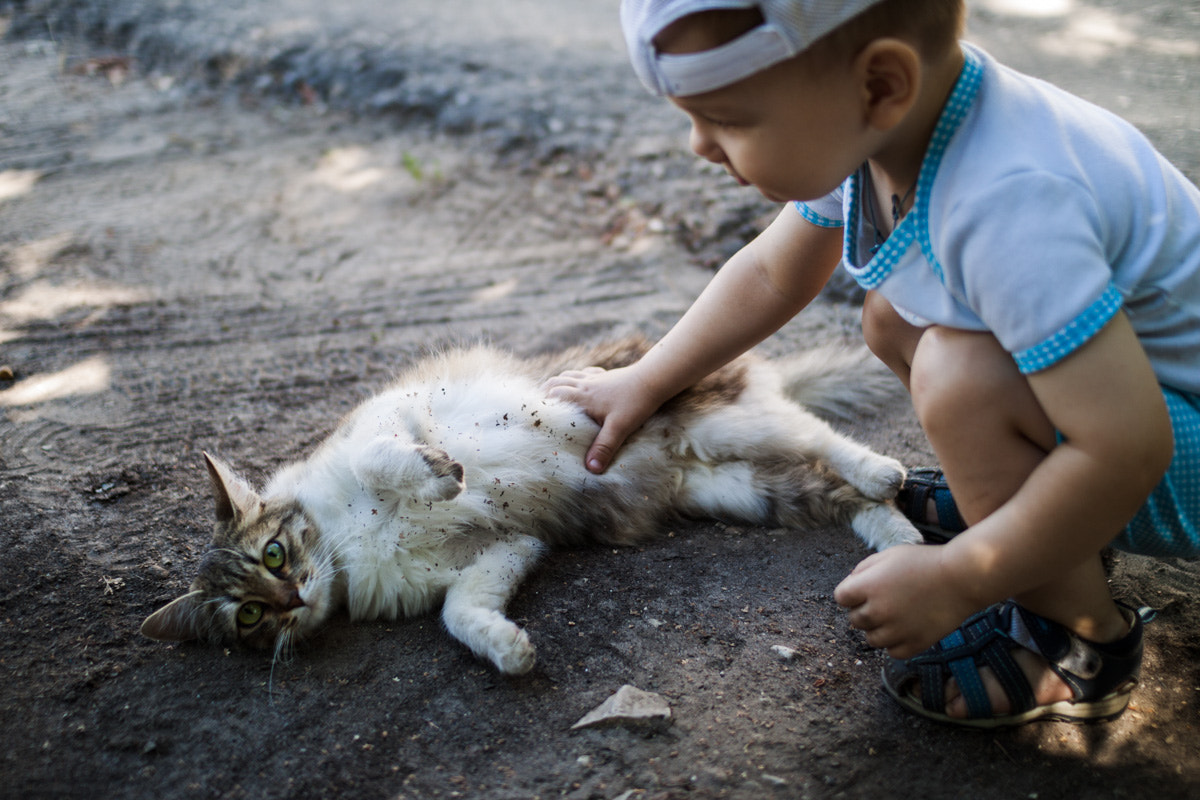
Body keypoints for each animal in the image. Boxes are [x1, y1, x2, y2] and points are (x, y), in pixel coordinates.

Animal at [140, 338, 916, 676]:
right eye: (248, 616)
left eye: (273, 553)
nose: (293, 598)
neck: (344, 548)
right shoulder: (497, 552)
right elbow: (462, 615)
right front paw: (509, 651)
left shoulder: (389, 418)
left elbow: (385, 458)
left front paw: (440, 478)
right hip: (736, 489)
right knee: (831, 490)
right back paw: (902, 543)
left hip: (723, 423)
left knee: (819, 436)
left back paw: (885, 473)